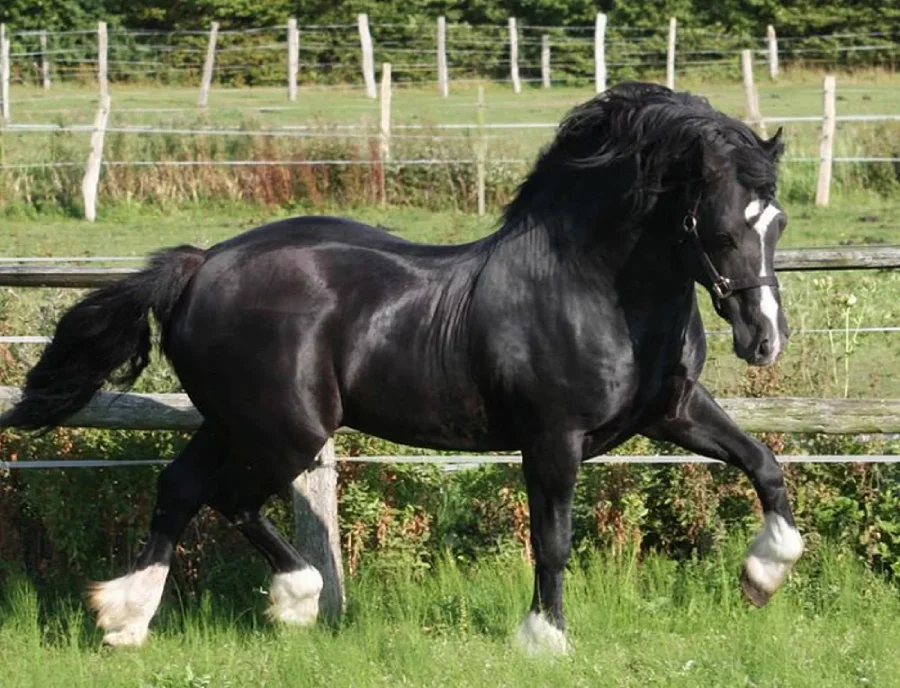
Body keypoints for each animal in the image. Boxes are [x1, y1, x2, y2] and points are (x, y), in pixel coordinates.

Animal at [1, 82, 800, 652]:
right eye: (720, 229)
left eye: (778, 221)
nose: (766, 340)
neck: (589, 287)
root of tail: (200, 266)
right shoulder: (552, 438)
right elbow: (552, 540)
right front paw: (545, 638)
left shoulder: (672, 411)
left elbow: (763, 464)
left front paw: (762, 575)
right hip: (283, 429)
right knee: (227, 498)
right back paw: (295, 599)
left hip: (236, 422)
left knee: (180, 489)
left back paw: (128, 619)